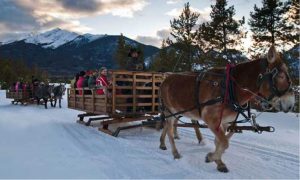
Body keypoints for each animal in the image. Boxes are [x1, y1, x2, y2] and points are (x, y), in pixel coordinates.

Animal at [159, 45, 296, 172]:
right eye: (281, 76)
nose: (291, 104)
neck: (230, 88)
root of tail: (165, 79)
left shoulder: (225, 121)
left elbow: (220, 142)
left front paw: (218, 161)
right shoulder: (210, 119)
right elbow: (225, 142)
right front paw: (211, 157)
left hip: (177, 111)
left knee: (167, 125)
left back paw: (162, 143)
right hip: (170, 111)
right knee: (170, 130)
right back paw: (175, 153)